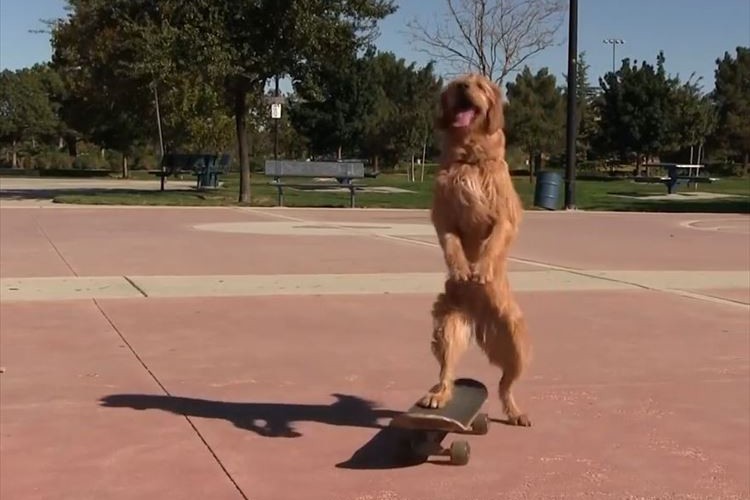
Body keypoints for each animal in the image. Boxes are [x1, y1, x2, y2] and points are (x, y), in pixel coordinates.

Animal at [424, 72, 536, 428]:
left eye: (479, 84)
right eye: (454, 84)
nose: (463, 87)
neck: (470, 158)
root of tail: (477, 314)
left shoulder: (505, 216)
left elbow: (494, 241)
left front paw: (482, 268)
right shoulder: (445, 218)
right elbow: (453, 244)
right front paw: (463, 268)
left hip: (516, 341)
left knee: (505, 384)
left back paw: (515, 412)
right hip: (447, 326)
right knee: (446, 370)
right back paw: (438, 395)